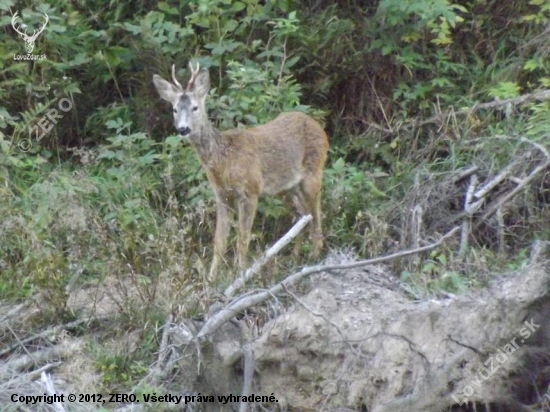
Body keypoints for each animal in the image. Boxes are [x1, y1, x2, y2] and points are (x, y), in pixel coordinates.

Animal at [153, 62, 330, 280]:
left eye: (195, 107)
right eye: (175, 109)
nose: (183, 129)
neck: (224, 162)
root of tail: (318, 126)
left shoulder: (250, 191)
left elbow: (242, 238)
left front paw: (241, 275)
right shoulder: (222, 196)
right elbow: (219, 242)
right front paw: (211, 279)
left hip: (313, 172)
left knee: (316, 213)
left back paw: (314, 256)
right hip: (286, 187)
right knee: (302, 215)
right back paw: (295, 258)